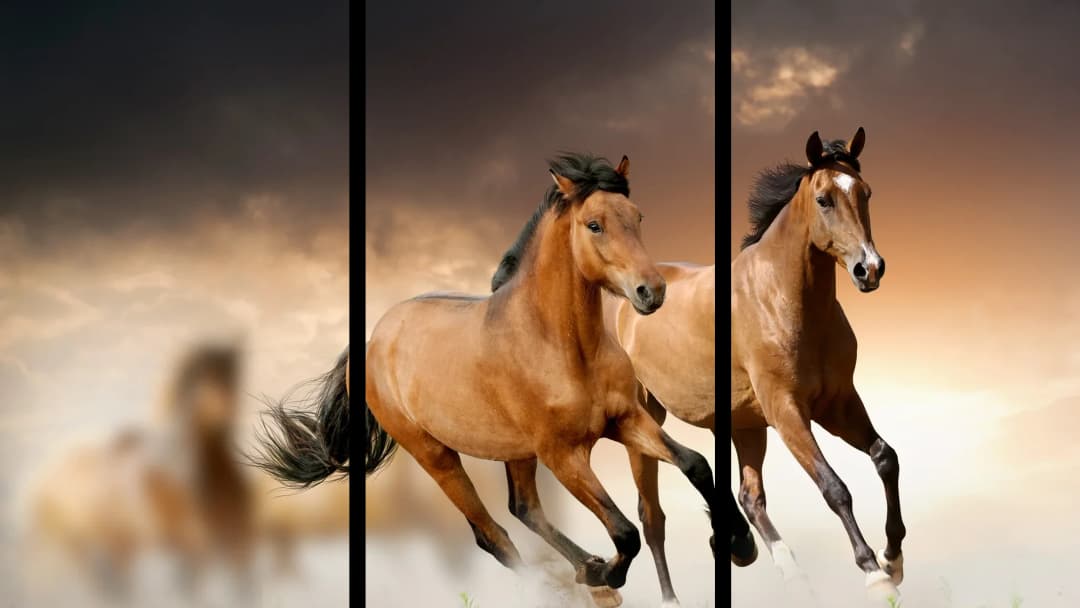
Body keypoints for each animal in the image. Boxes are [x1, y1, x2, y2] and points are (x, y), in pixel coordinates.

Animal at [255, 153, 718, 607]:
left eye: (637, 216)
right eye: (594, 224)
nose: (651, 291)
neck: (562, 346)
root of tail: (369, 344)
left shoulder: (625, 420)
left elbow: (696, 465)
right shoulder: (563, 454)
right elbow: (625, 531)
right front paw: (606, 574)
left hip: (515, 450)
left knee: (524, 508)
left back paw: (586, 570)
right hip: (436, 456)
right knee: (491, 534)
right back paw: (576, 582)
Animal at [730, 128, 905, 601]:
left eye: (866, 193)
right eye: (824, 199)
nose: (870, 269)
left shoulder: (837, 402)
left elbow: (885, 457)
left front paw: (893, 558)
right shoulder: (787, 412)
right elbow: (834, 487)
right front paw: (874, 574)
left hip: (744, 425)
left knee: (749, 496)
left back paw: (783, 569)